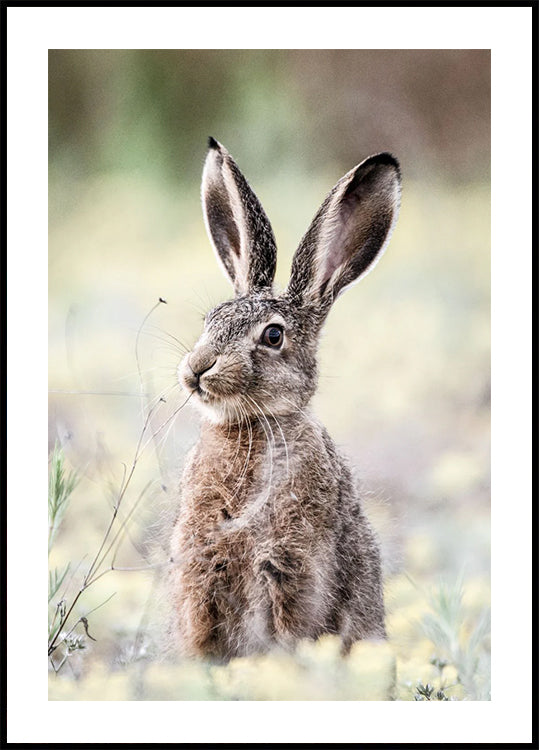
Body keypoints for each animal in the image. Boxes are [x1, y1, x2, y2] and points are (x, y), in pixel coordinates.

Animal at [167, 137, 401, 661]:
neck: (251, 426)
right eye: (210, 319)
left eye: (273, 336)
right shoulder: (200, 572)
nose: (196, 369)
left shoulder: (293, 567)